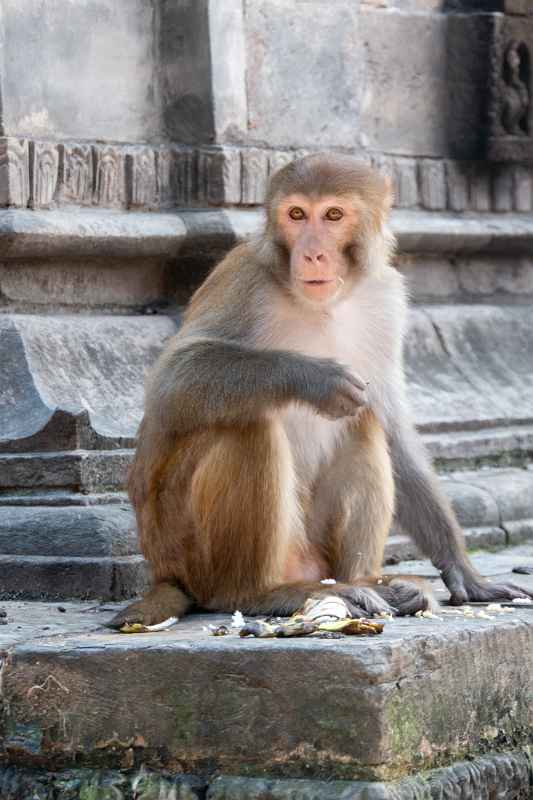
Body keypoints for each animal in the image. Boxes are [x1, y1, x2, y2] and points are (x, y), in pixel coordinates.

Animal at [109, 155, 532, 632]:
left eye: (332, 215)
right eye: (296, 214)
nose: (312, 253)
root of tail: (162, 568)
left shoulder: (386, 298)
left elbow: (390, 424)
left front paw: (465, 571)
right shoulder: (243, 277)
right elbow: (171, 383)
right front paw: (315, 379)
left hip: (314, 552)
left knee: (364, 423)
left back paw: (373, 585)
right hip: (185, 542)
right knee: (248, 424)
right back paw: (259, 593)